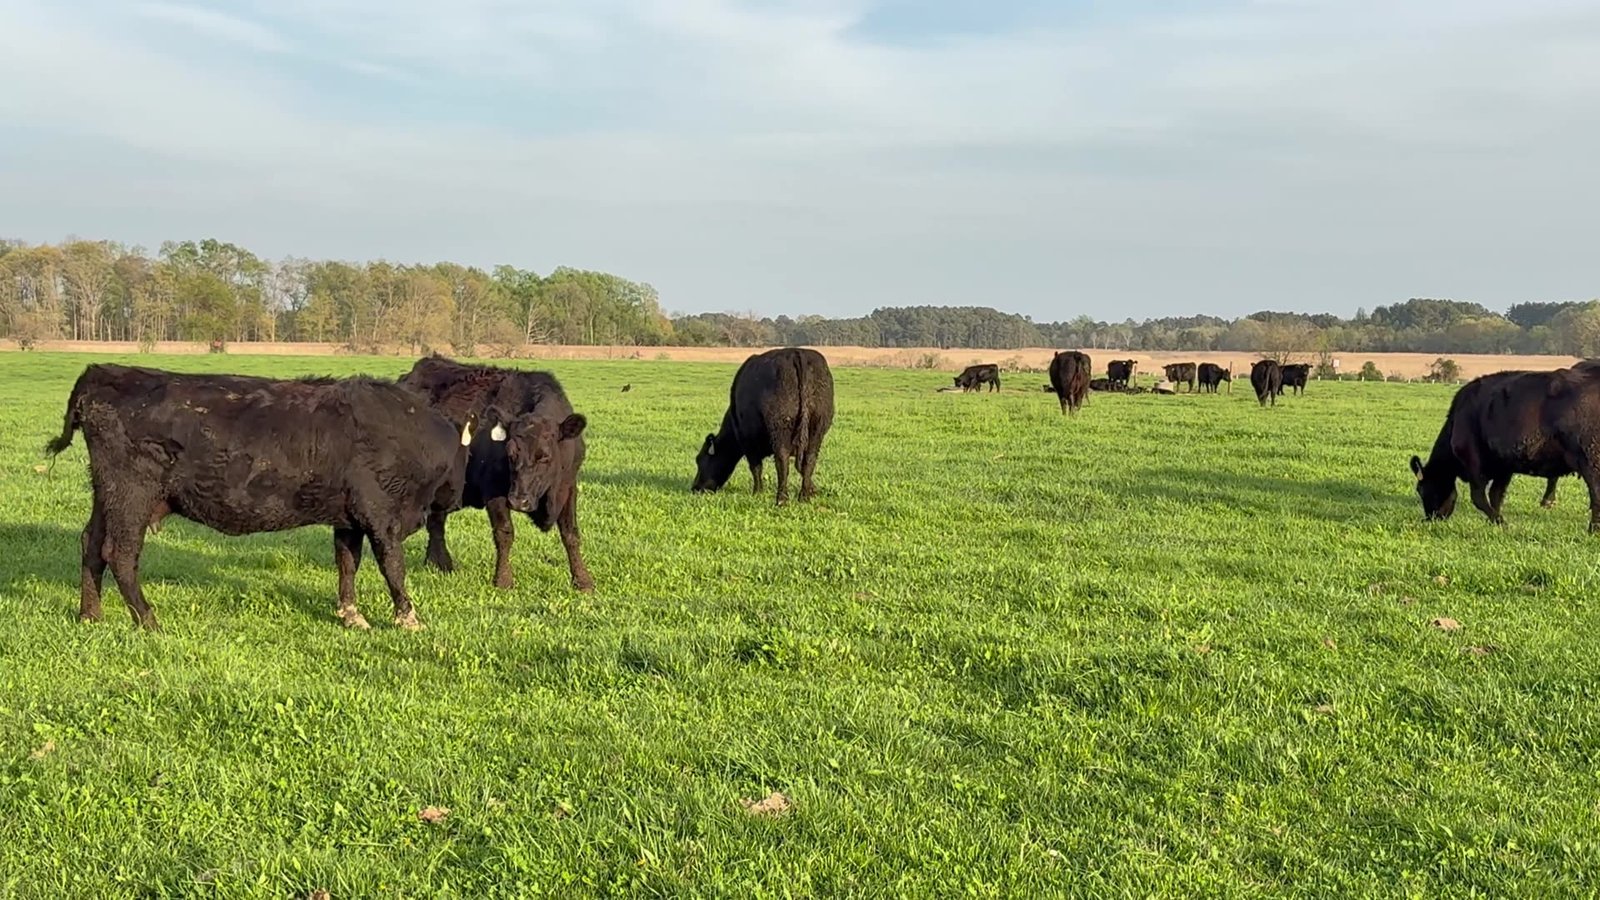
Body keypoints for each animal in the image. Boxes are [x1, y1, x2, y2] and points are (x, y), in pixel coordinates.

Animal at [44, 364, 470, 630]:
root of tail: (103, 373)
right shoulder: (381, 515)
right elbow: (392, 566)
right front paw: (409, 619)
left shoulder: (348, 517)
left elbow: (347, 563)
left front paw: (352, 615)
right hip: (132, 493)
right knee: (120, 553)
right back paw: (149, 620)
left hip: (107, 494)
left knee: (91, 544)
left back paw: (91, 615)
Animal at [400, 356, 593, 593]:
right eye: (510, 453)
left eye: (545, 456)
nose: (519, 501)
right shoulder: (494, 490)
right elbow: (504, 533)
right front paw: (503, 580)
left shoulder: (568, 486)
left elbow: (571, 534)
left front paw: (582, 581)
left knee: (436, 521)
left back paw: (439, 563)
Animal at [694, 347, 835, 505]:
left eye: (699, 460)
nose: (695, 488)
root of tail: (796, 353)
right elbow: (802, 468)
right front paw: (813, 490)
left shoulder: (748, 442)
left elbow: (756, 467)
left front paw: (757, 492)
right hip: (817, 428)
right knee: (809, 459)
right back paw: (804, 496)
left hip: (780, 429)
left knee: (782, 461)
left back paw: (781, 499)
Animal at [1409, 364, 1600, 531]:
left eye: (1421, 489)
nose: (1430, 518)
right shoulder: (1504, 467)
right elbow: (1496, 495)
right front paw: (1495, 521)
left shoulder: (1473, 462)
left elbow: (1479, 497)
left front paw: (1500, 522)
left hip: (1589, 458)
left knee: (1596, 492)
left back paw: (1593, 529)